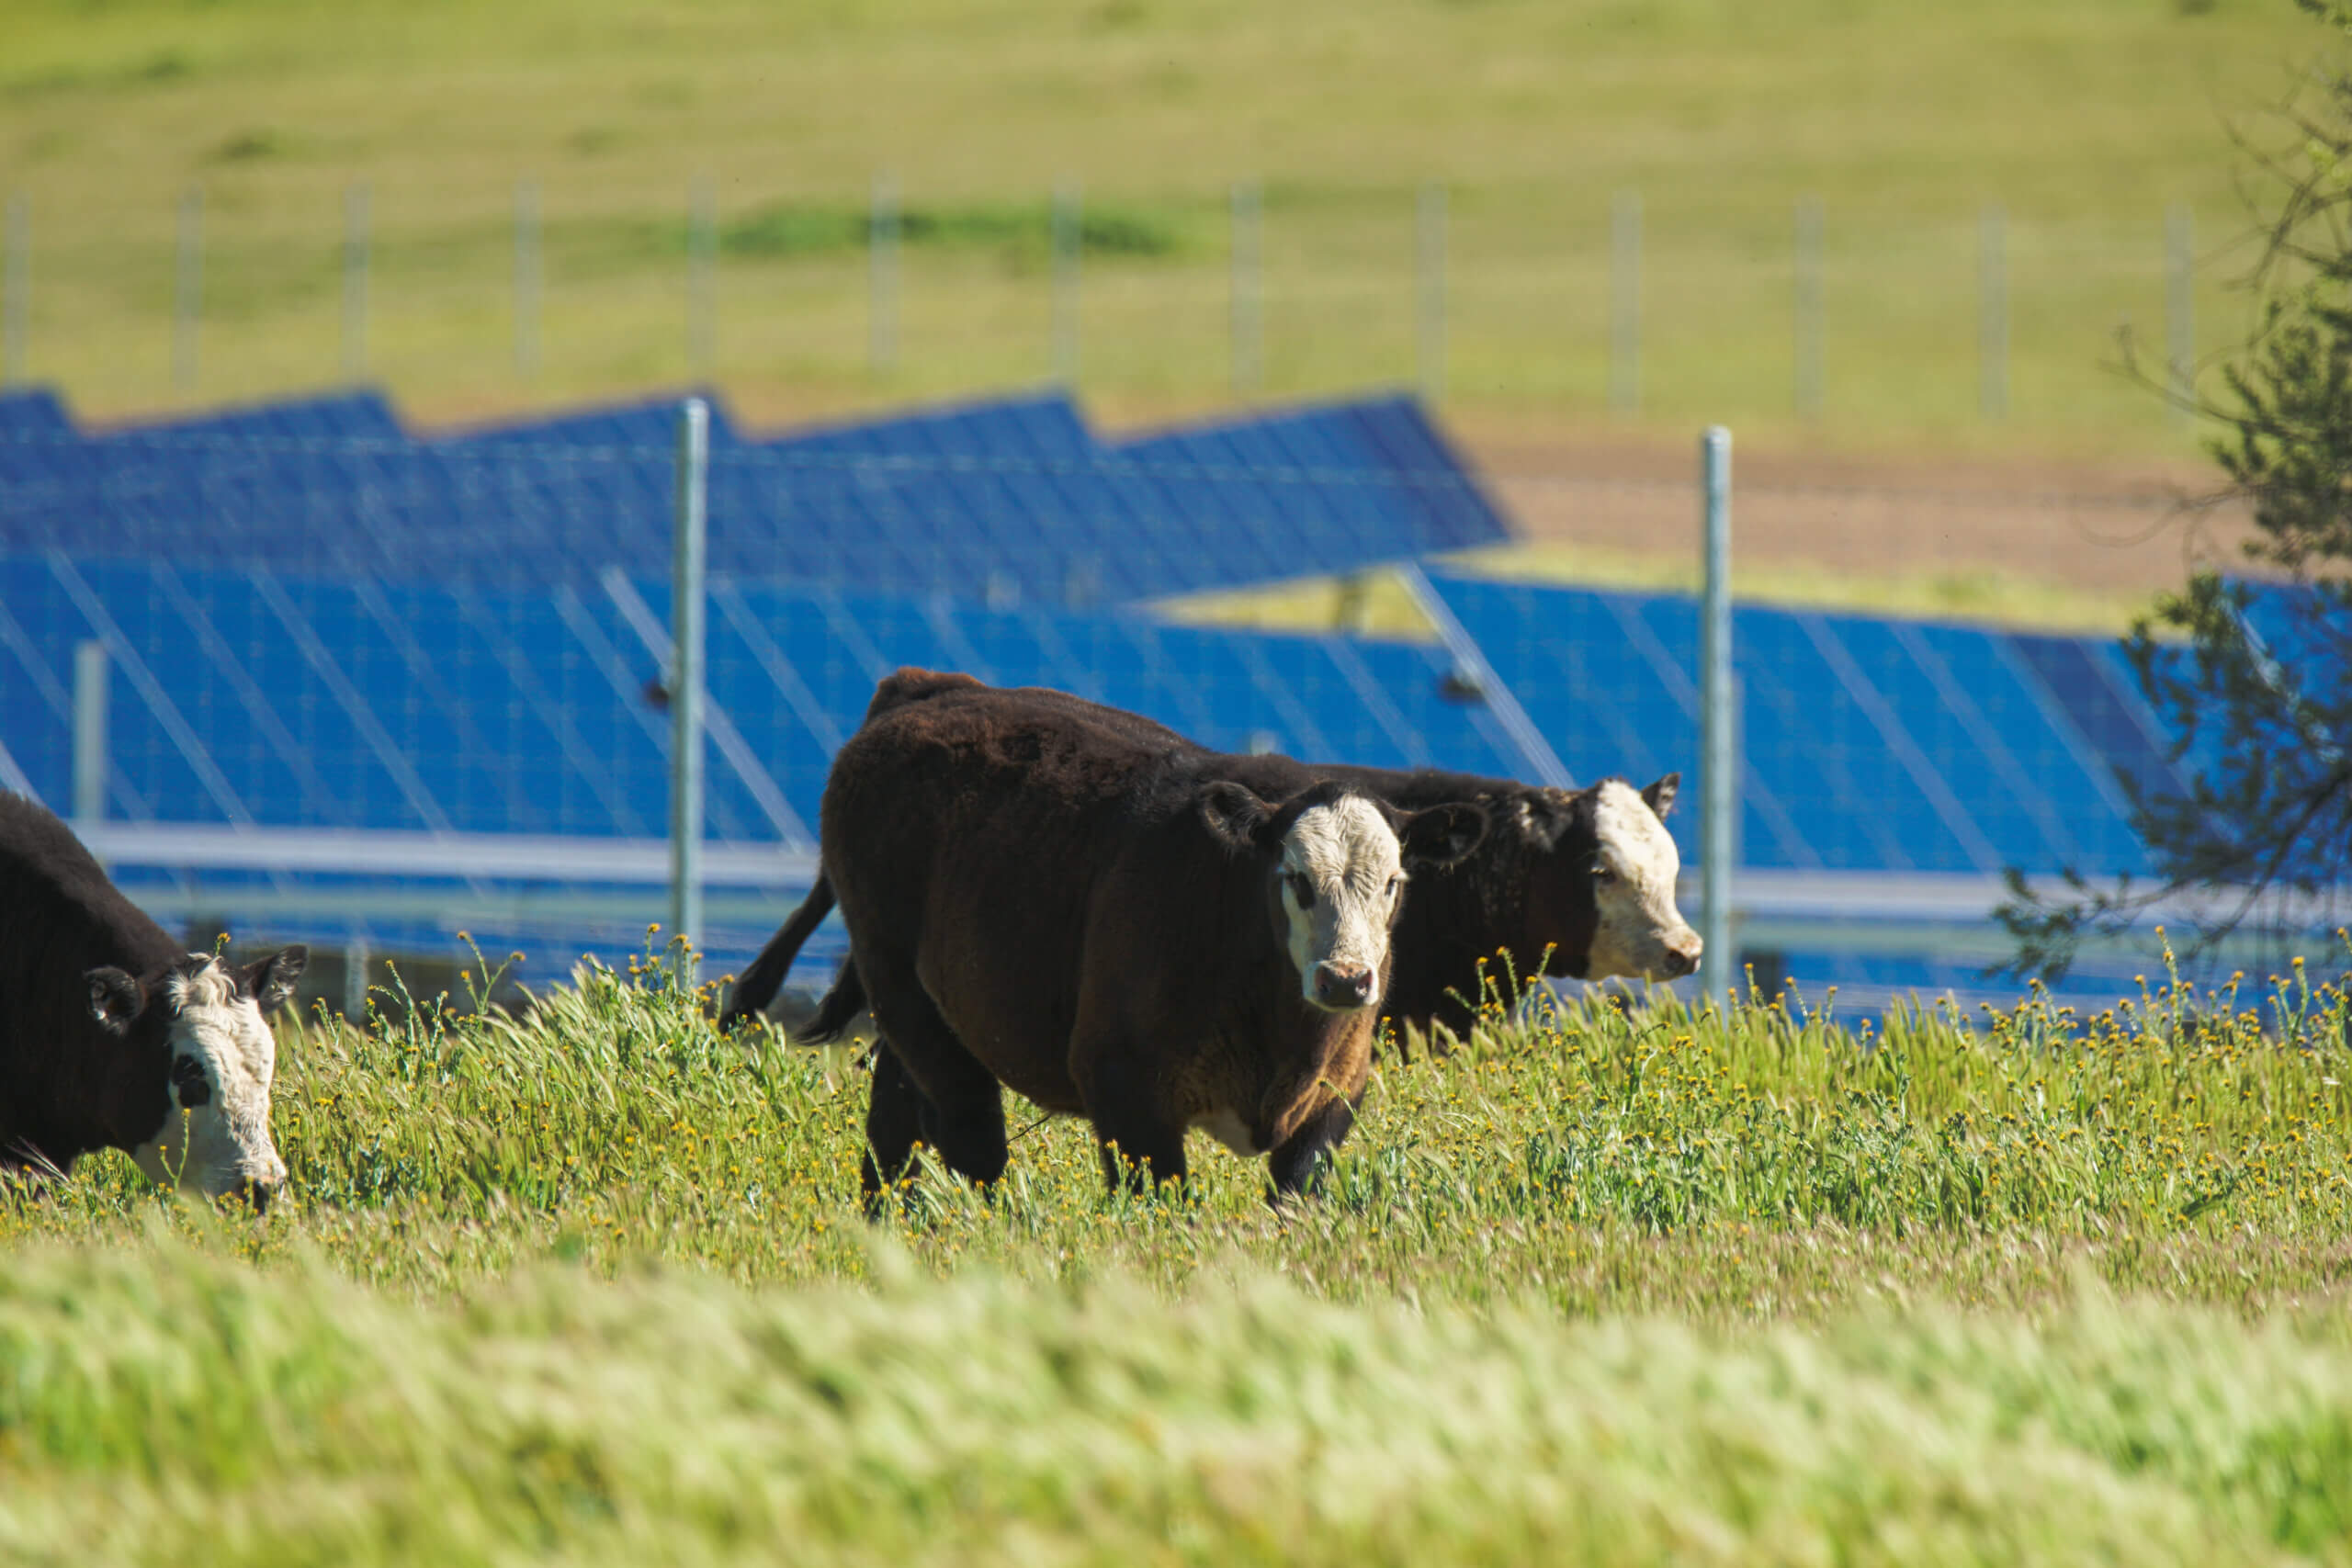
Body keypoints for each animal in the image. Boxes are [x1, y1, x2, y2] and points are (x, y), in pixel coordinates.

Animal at [787, 676, 1487, 1198]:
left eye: (1393, 881)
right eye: (1294, 878)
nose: (1345, 980)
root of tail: (933, 687)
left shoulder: (1333, 1098)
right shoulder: (1123, 1085)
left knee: (894, 1131)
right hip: (904, 991)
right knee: (970, 1142)